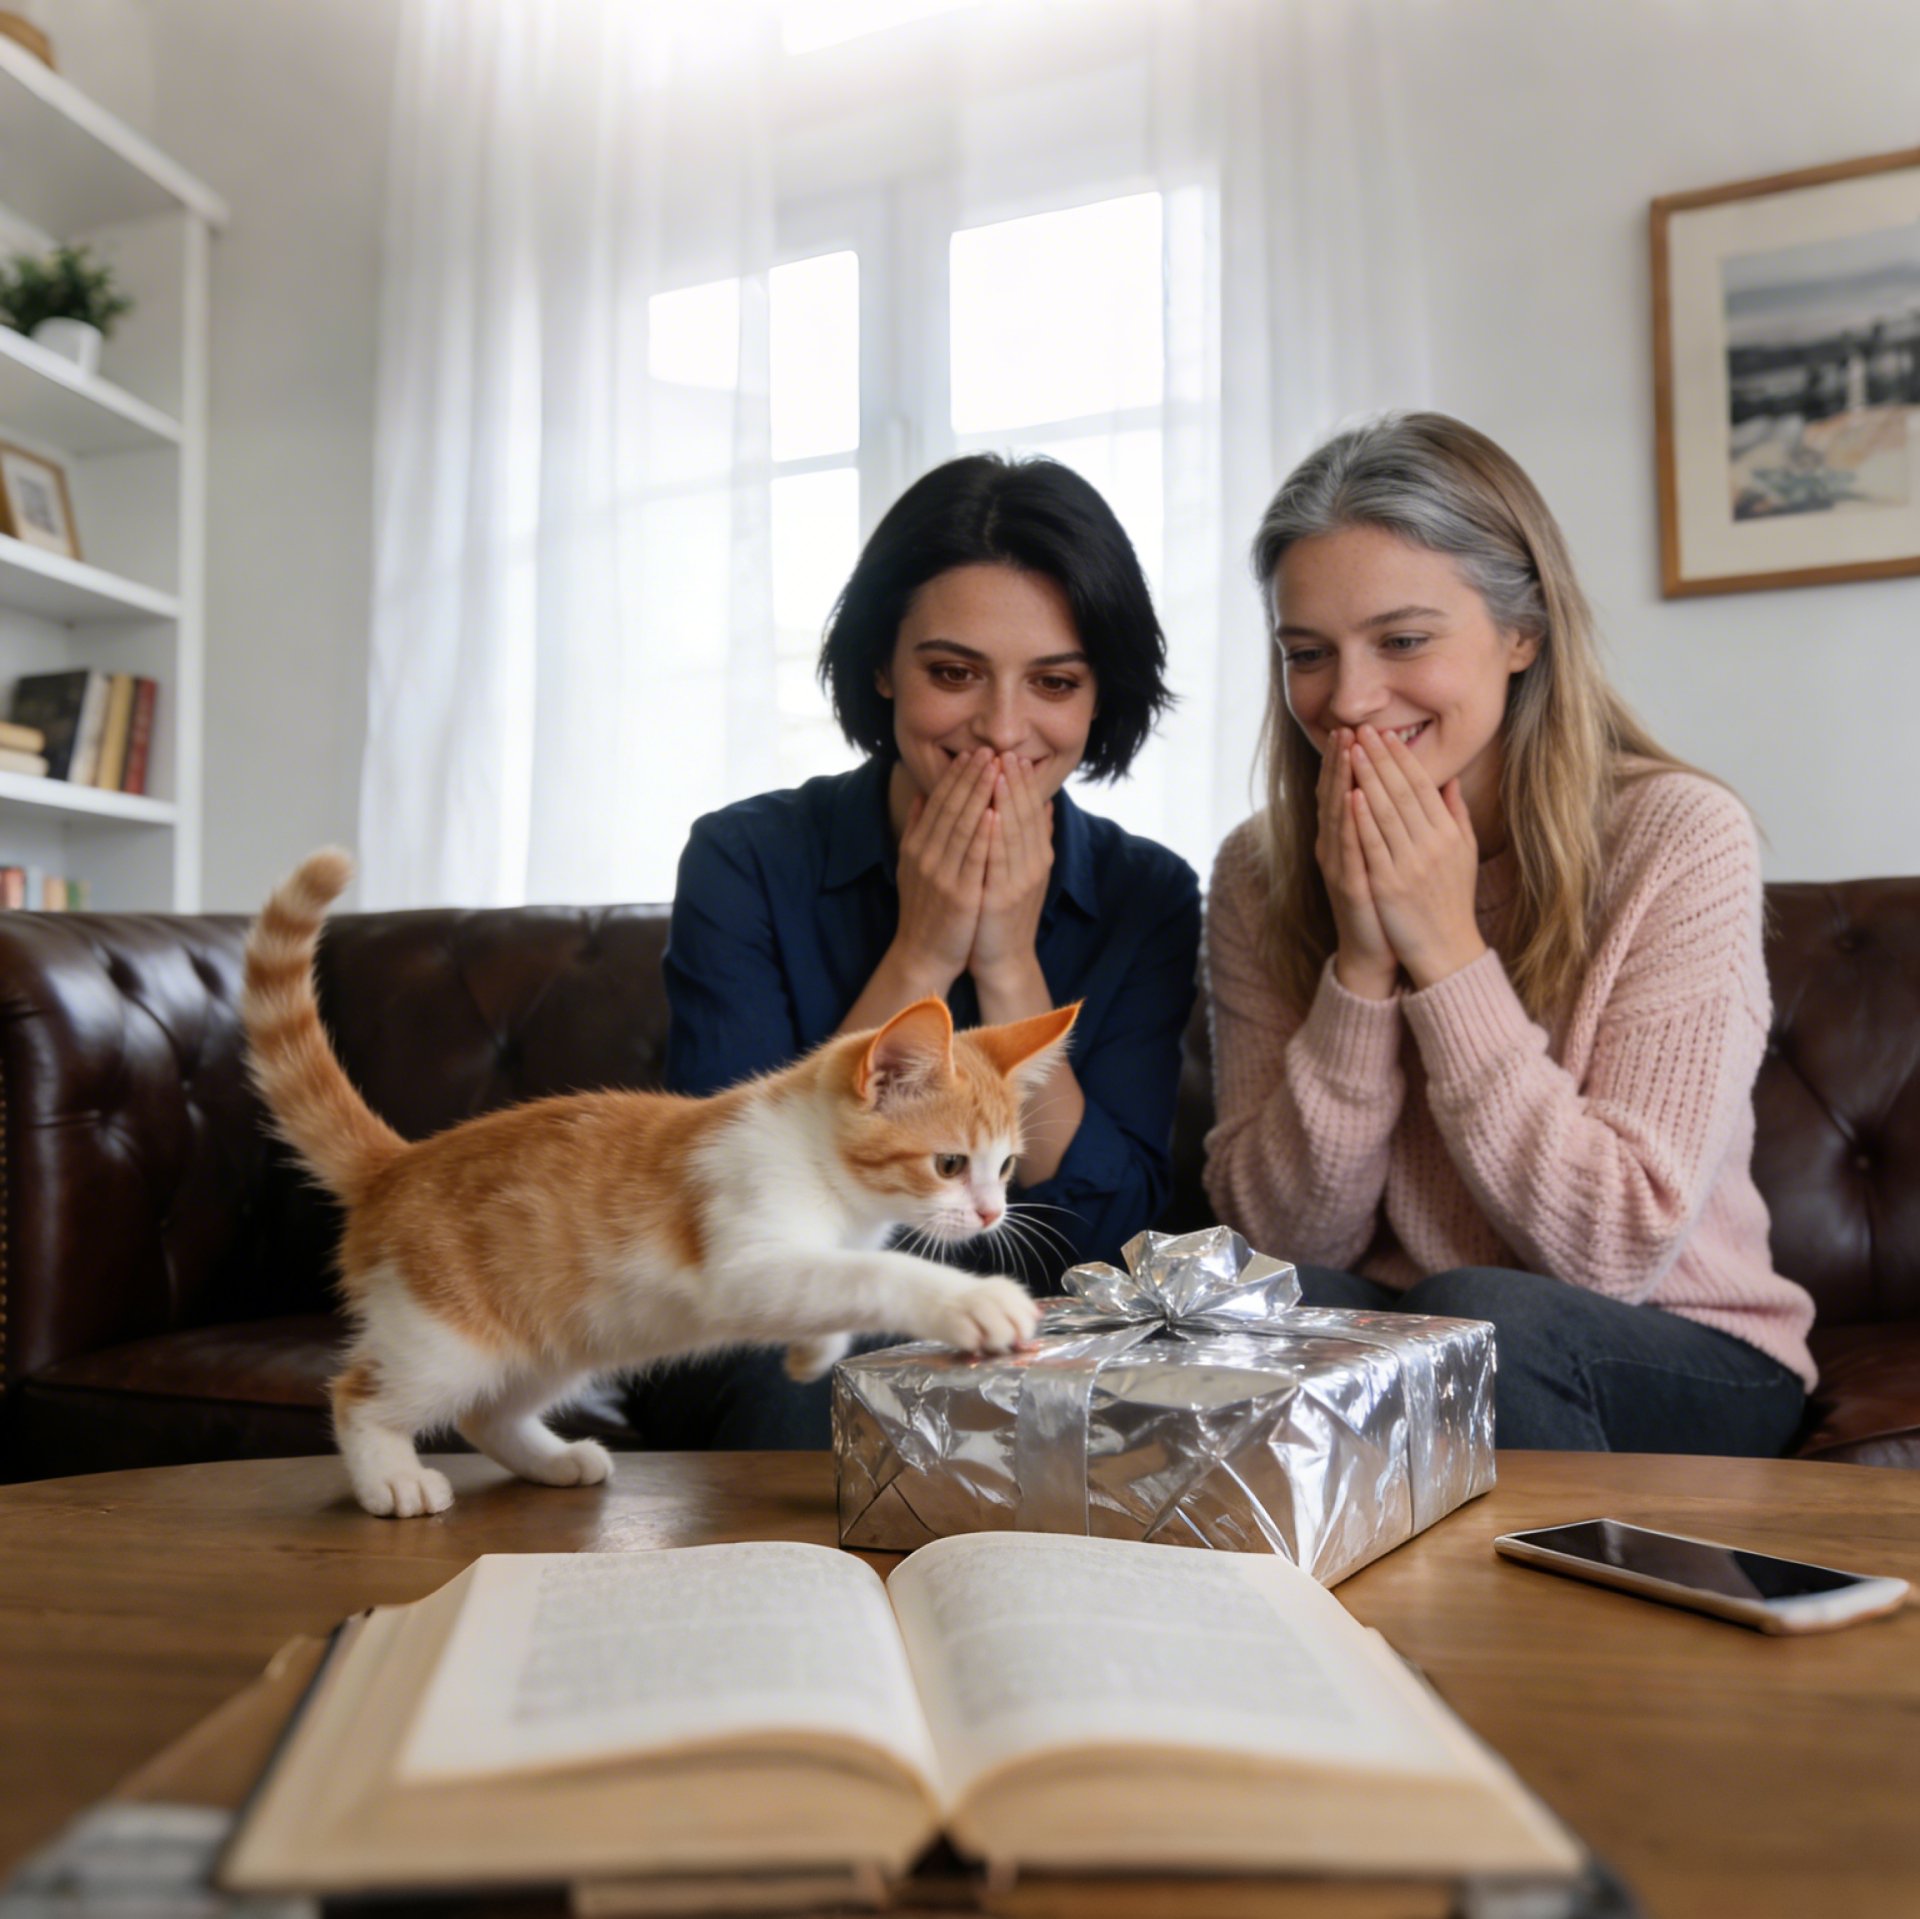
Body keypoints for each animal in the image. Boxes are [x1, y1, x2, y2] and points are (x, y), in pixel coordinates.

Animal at [243, 849, 1074, 1519]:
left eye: (1005, 1166)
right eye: (949, 1164)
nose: (992, 1213)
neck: (821, 1165)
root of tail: (396, 1163)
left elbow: (839, 1285)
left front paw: (813, 1351)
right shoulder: (745, 1258)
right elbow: (873, 1273)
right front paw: (969, 1299)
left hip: (556, 1340)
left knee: (488, 1413)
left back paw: (555, 1458)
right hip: (443, 1335)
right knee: (362, 1393)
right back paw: (391, 1477)